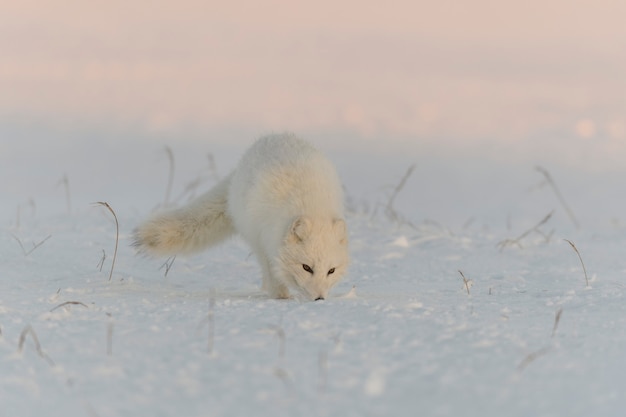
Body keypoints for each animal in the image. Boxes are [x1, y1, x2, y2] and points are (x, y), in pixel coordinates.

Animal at [132, 133, 348, 300]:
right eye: (306, 267)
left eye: (331, 271)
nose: (319, 299)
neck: (311, 204)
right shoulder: (263, 238)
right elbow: (271, 269)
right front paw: (280, 296)